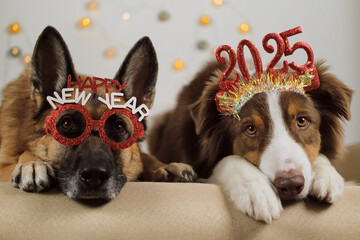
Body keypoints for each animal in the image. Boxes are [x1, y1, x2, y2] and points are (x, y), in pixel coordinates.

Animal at [148, 61, 352, 222]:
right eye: (251, 129)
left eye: (302, 121)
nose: (291, 184)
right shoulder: (200, 166)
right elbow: (231, 160)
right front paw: (257, 190)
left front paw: (327, 176)